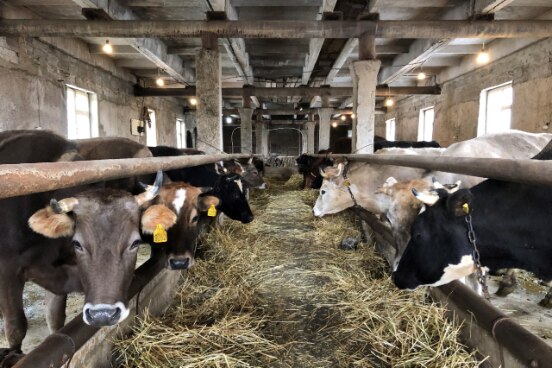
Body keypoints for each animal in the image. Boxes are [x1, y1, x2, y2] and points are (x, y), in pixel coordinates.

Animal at [0, 131, 172, 366]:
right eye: (77, 243)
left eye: (135, 242)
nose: (103, 315)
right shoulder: (7, 271)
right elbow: (16, 326)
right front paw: (13, 354)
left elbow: (55, 319)